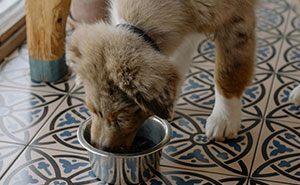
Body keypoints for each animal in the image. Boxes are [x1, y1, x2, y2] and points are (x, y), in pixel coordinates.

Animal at [67, 0, 256, 152]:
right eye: (91, 110)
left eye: (120, 117)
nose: (98, 147)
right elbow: (177, 62)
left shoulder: (236, 18)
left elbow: (228, 72)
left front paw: (224, 119)